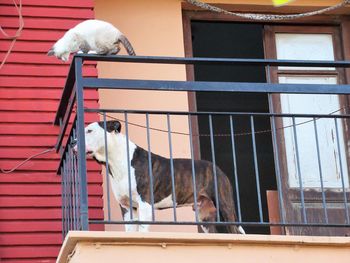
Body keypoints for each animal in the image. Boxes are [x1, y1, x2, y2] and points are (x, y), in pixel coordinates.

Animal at [76, 120, 245, 234]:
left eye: (89, 131)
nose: (73, 141)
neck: (116, 160)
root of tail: (217, 168)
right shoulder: (127, 207)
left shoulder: (145, 204)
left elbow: (142, 229)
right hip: (204, 215)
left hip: (225, 206)